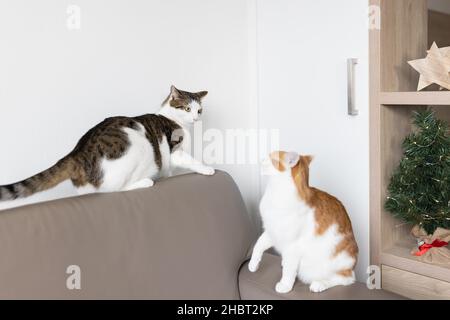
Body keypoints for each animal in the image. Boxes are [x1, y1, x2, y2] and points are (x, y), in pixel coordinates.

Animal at [0, 85, 214, 200]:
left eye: (199, 110)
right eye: (186, 109)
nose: (195, 118)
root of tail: (77, 153)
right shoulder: (175, 151)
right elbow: (191, 160)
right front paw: (207, 169)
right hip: (139, 147)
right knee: (112, 190)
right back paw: (145, 182)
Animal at [248, 151, 356, 294]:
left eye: (273, 159)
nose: (261, 159)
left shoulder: (292, 246)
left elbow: (289, 270)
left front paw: (285, 285)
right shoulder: (272, 232)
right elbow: (258, 245)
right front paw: (253, 264)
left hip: (338, 264)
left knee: (347, 279)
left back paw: (319, 284)